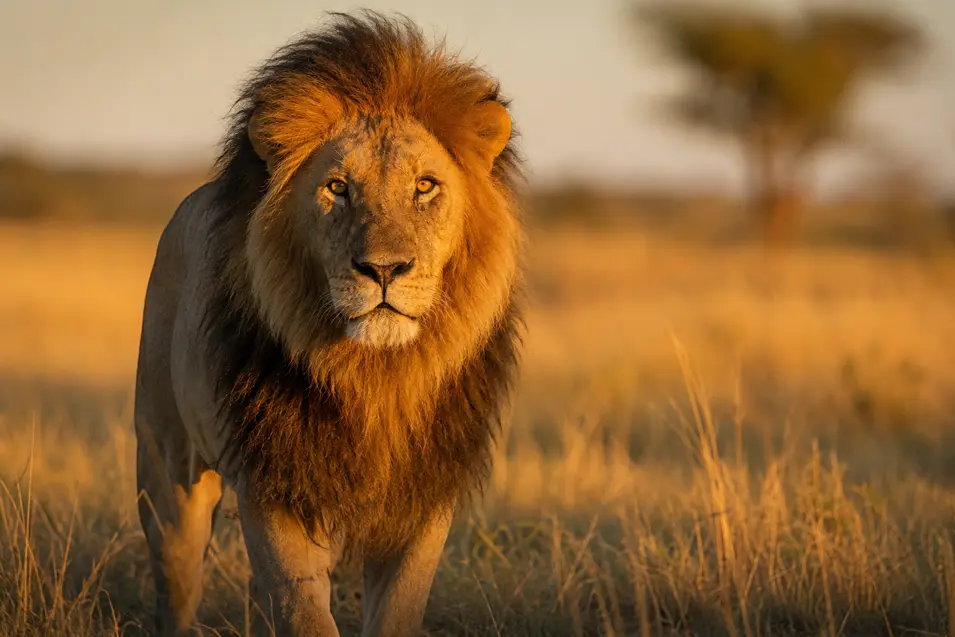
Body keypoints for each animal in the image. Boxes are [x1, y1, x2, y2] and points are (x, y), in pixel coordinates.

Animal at [134, 11, 523, 637]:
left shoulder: (423, 498)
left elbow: (396, 612)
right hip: (167, 465)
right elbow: (303, 613)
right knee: (176, 579)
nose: (384, 269)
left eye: (425, 186)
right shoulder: (273, 489)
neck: (376, 378)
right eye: (337, 188)